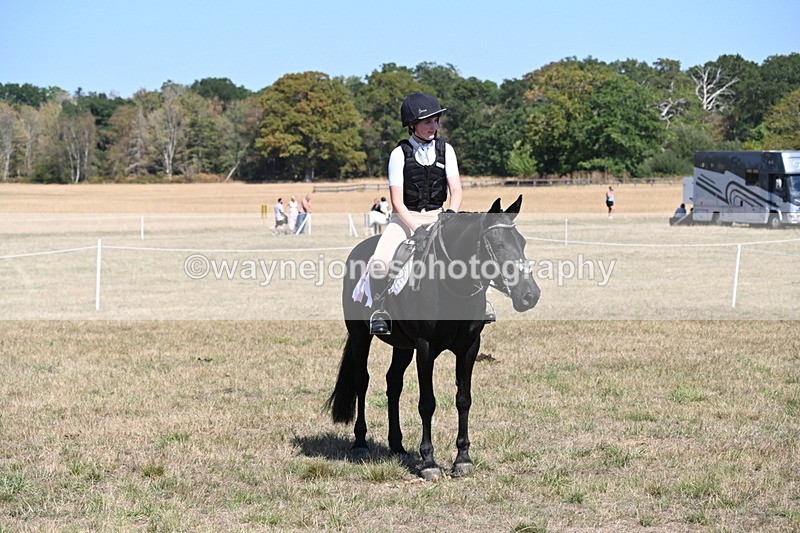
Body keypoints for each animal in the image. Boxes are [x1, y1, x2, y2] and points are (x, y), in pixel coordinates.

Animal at [325, 195, 540, 480]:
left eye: (523, 243)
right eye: (497, 244)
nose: (530, 295)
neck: (452, 283)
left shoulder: (469, 347)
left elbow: (463, 399)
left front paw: (462, 459)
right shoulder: (425, 347)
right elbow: (427, 403)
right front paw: (428, 462)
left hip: (403, 345)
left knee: (393, 383)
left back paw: (397, 445)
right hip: (361, 336)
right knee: (363, 381)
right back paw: (360, 443)